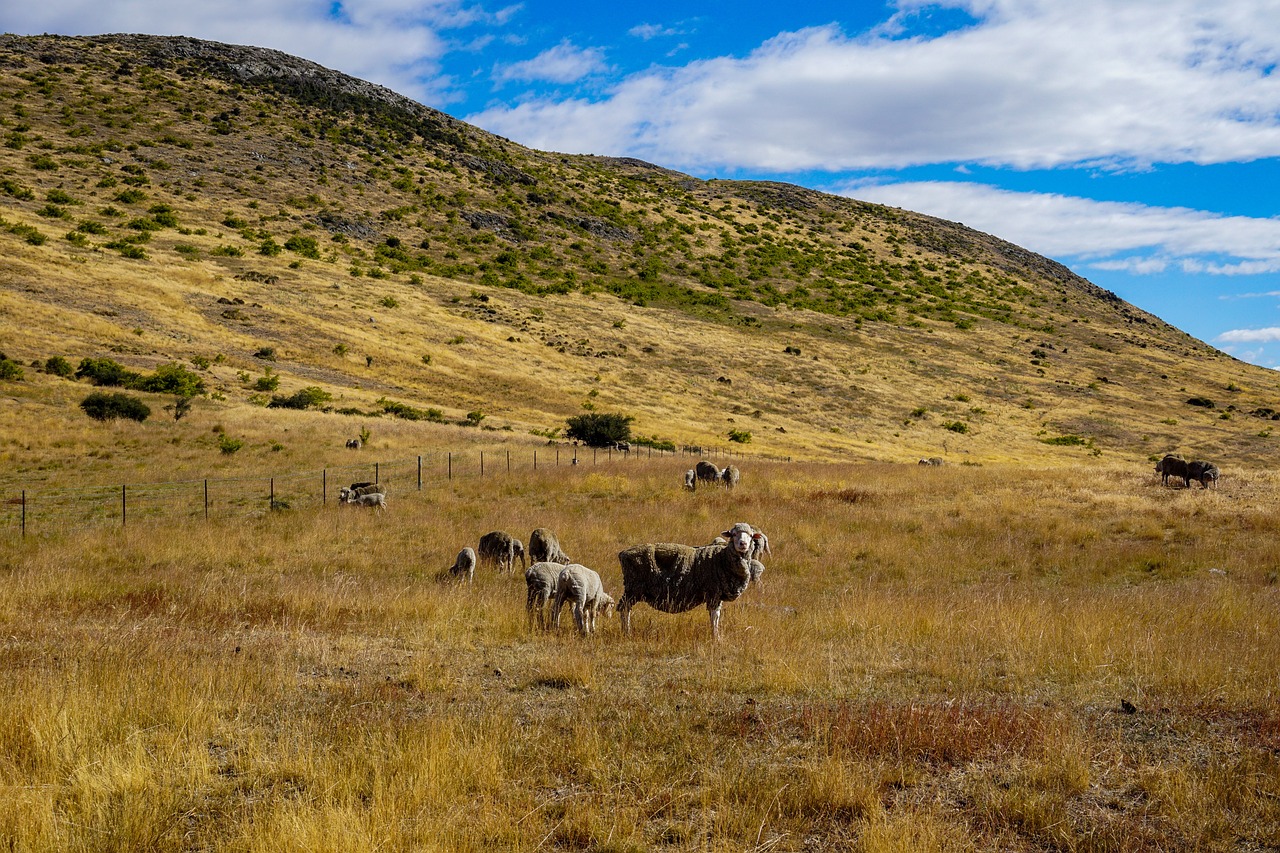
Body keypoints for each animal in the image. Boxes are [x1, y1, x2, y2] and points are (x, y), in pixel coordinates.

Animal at [616, 517, 762, 637]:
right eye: (733, 534)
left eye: (750, 535)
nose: (743, 544)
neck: (722, 559)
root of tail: (623, 553)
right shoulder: (713, 592)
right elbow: (715, 616)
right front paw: (716, 637)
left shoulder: (717, 594)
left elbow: (716, 616)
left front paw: (716, 635)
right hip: (633, 587)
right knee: (624, 609)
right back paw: (627, 633)